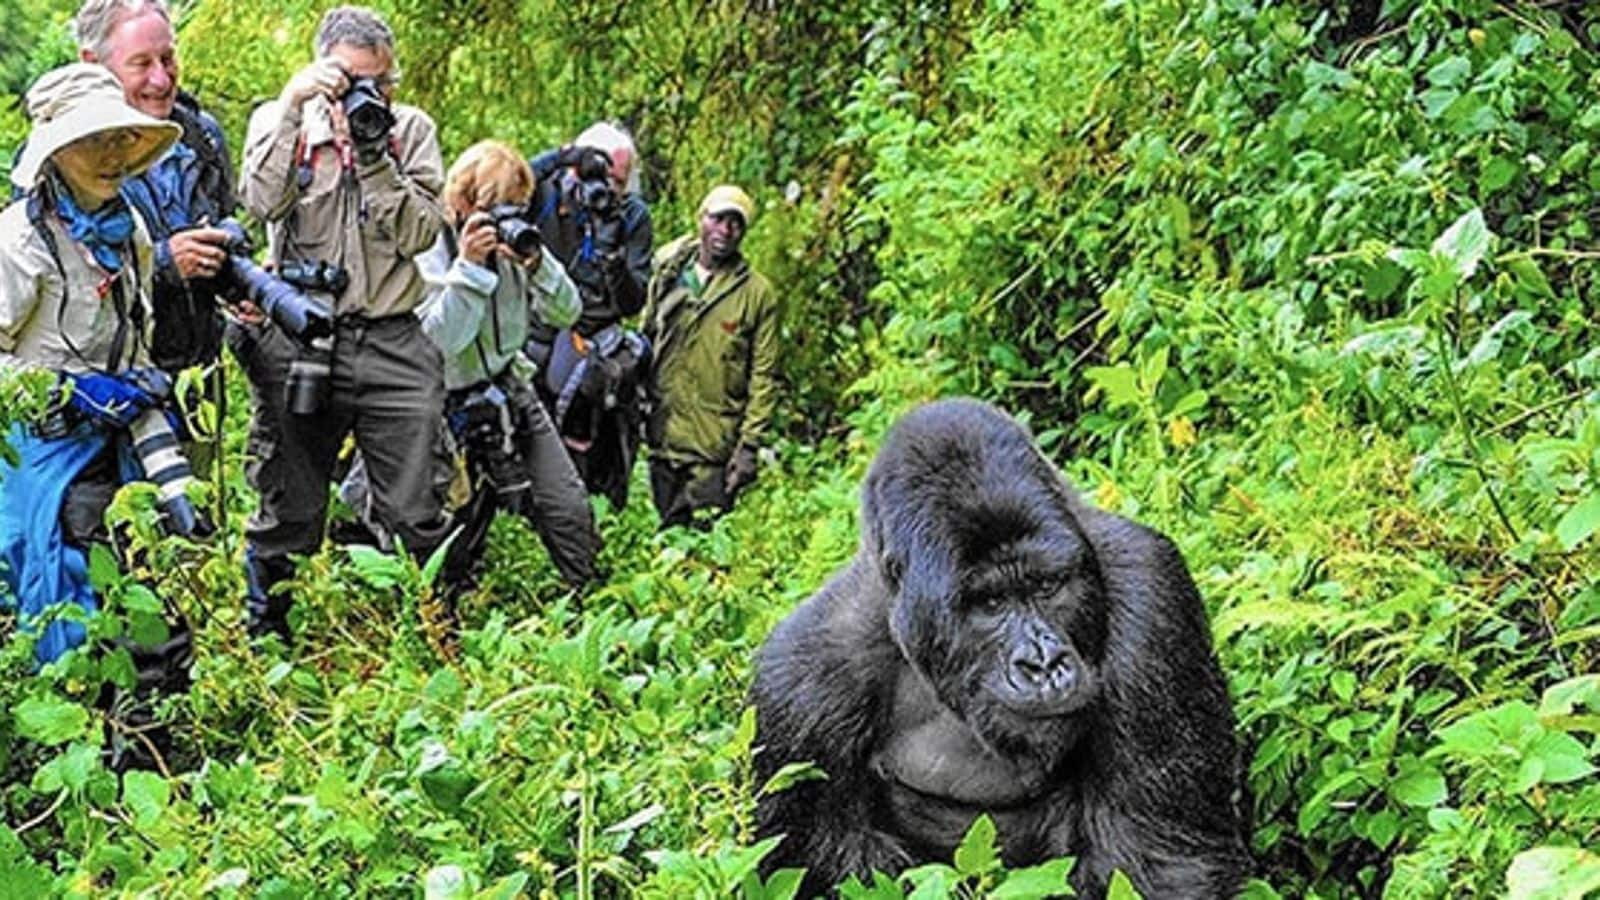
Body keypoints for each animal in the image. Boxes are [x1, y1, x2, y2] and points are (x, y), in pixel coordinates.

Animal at [748, 398, 1248, 896]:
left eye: (1047, 586)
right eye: (990, 603)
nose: (1044, 664)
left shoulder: (1152, 592)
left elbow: (1159, 862)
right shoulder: (799, 690)